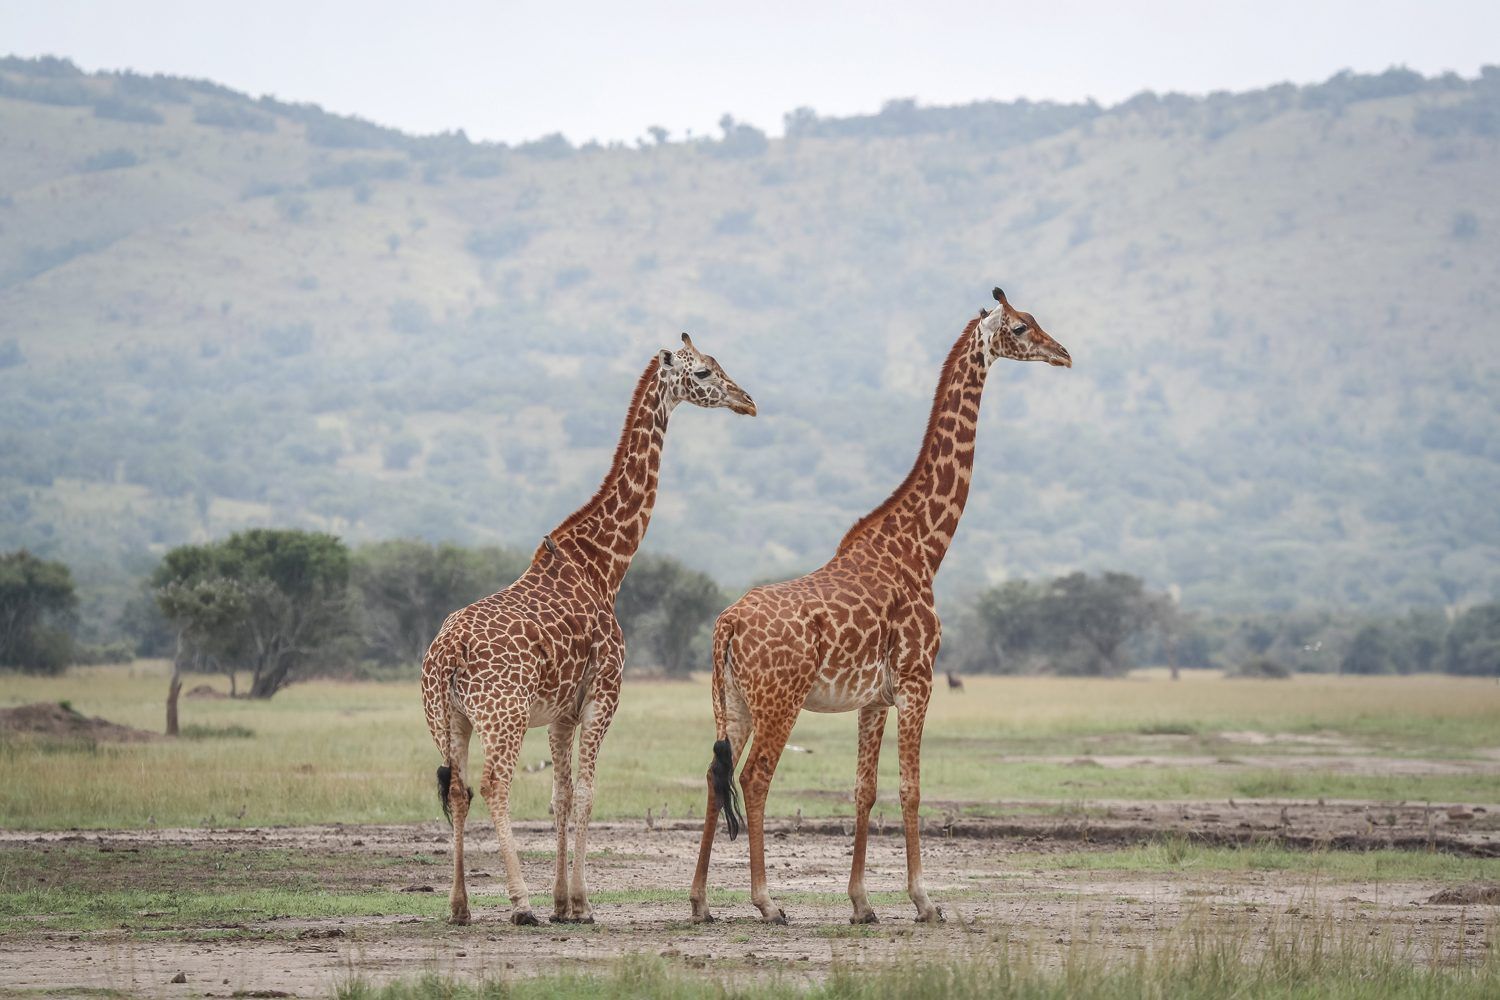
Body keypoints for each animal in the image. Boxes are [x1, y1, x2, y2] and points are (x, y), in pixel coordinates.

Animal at [421, 333, 755, 927]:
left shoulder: (560, 710)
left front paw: (563, 902)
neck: (604, 565)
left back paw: (460, 906)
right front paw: (579, 902)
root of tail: (448, 653)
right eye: (703, 371)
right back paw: (519, 903)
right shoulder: (605, 692)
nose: (747, 401)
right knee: (493, 784)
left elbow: (560, 794)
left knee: (457, 789)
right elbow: (586, 793)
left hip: (448, 719)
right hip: (502, 715)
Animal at [689, 288, 1070, 925]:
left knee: (716, 777)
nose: (1062, 353)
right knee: (756, 778)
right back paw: (767, 902)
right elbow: (911, 788)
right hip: (780, 701)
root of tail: (727, 625)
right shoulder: (919, 680)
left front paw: (862, 903)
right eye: (1021, 327)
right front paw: (924, 900)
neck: (922, 548)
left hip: (734, 703)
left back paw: (697, 902)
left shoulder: (874, 697)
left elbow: (864, 789)